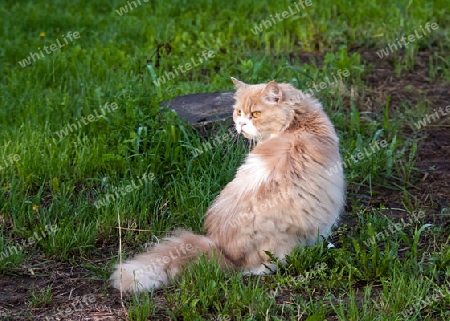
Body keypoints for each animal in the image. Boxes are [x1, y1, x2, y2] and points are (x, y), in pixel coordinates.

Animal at [110, 77, 346, 292]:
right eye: (239, 112)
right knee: (258, 268)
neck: (298, 122)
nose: (241, 124)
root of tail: (221, 249)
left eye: (256, 114)